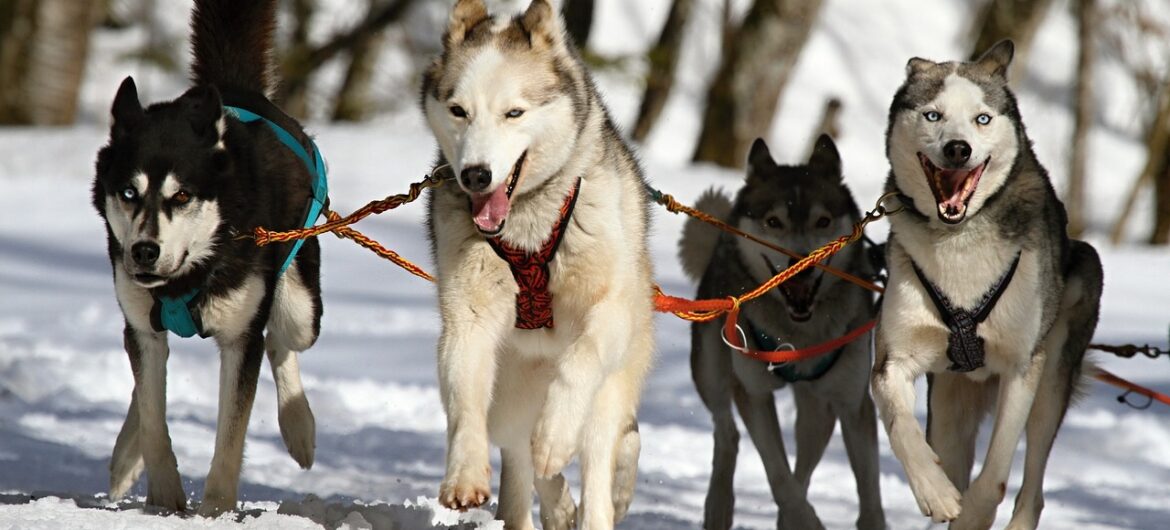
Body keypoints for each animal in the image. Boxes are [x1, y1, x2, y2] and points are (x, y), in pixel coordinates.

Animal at [91, 0, 320, 514]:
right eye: (129, 192)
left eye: (182, 196)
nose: (144, 250)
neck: (189, 276)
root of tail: (236, 90)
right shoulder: (142, 326)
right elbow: (154, 418)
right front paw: (164, 498)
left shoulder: (239, 340)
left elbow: (230, 440)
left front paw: (215, 509)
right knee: (144, 381)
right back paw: (125, 455)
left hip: (300, 306)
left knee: (280, 339)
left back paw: (299, 428)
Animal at [423, 1, 659, 528]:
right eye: (458, 111)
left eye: (514, 112)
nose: (475, 175)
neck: (527, 227)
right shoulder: (467, 318)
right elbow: (464, 401)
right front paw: (464, 475)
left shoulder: (609, 311)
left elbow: (581, 359)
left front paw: (554, 435)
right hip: (509, 396)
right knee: (522, 453)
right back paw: (557, 502)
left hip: (612, 386)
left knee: (601, 456)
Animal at [683, 134, 879, 526]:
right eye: (773, 221)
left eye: (823, 221)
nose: (801, 263)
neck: (799, 334)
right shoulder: (754, 393)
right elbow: (778, 476)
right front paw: (807, 521)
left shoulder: (853, 402)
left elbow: (868, 494)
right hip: (711, 369)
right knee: (727, 433)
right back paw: (718, 506)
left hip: (819, 407)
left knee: (804, 460)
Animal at [875, 39, 1099, 526]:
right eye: (933, 115)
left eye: (982, 118)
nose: (958, 149)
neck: (959, 240)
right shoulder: (894, 360)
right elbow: (901, 427)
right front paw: (935, 492)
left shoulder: (1021, 366)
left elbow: (995, 473)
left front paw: (974, 512)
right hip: (948, 406)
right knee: (951, 452)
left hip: (1051, 380)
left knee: (1032, 487)